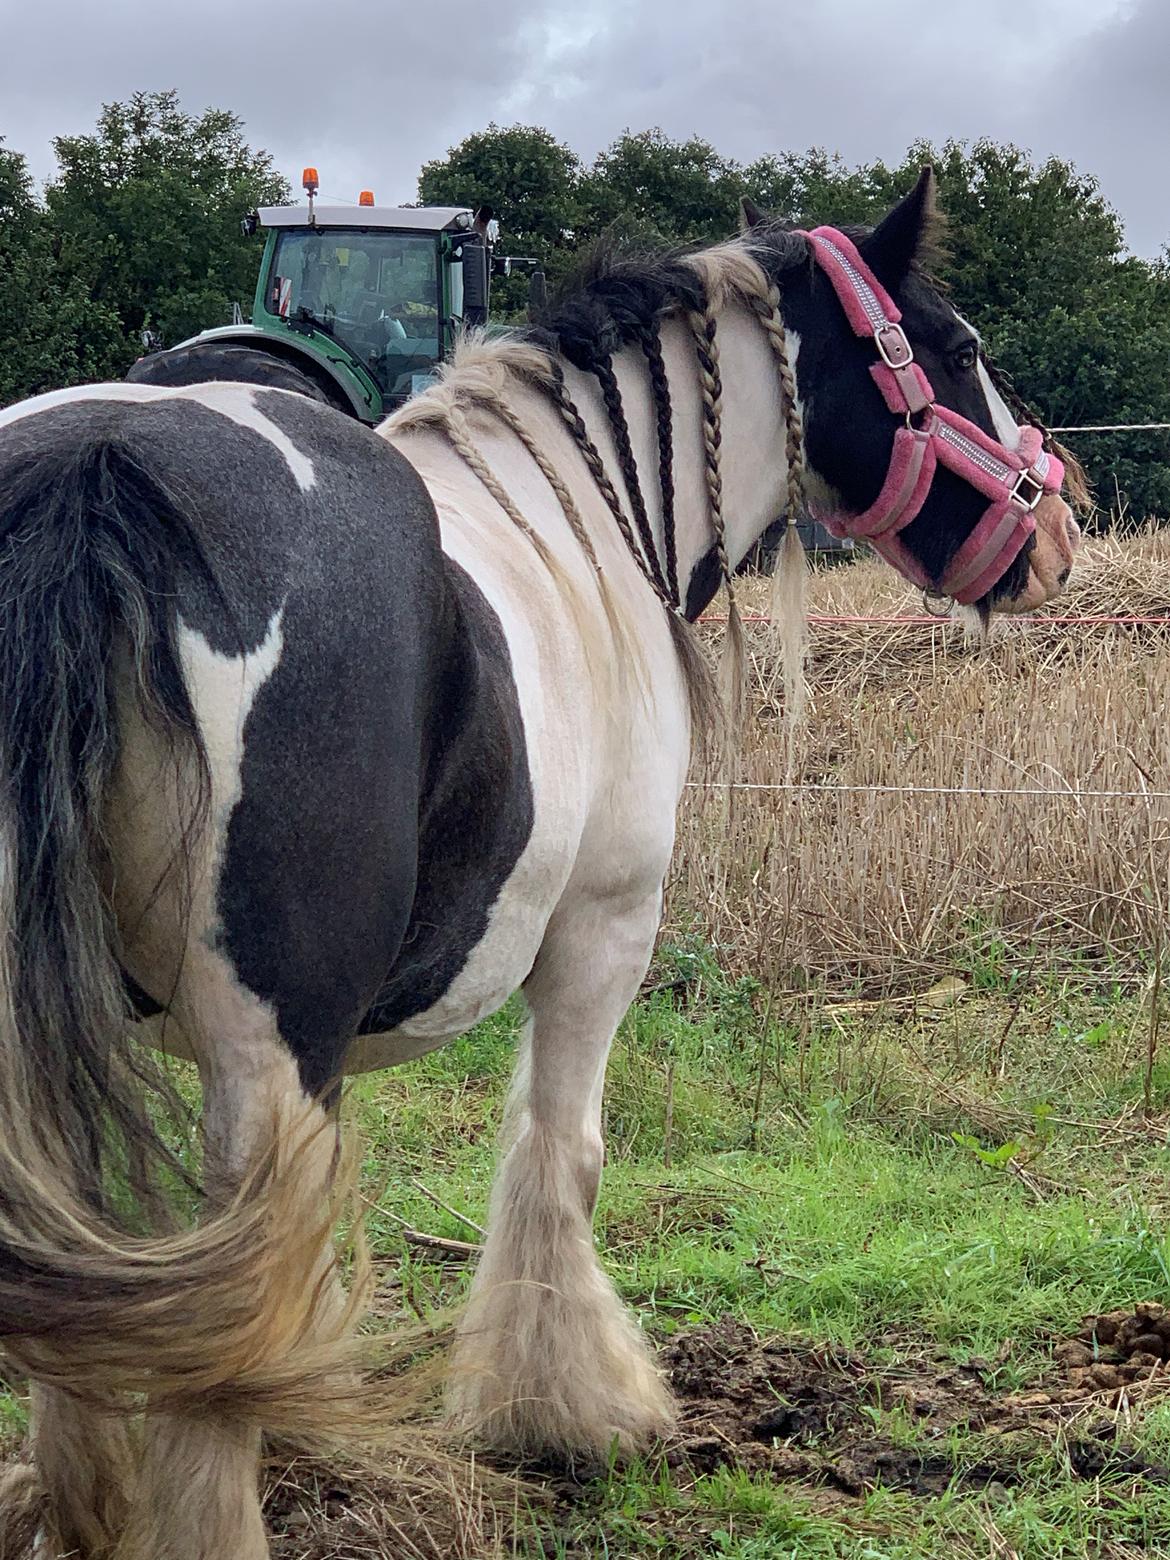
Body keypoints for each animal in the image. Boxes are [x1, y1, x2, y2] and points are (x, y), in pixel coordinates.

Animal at [0, 164, 1085, 1553]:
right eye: (954, 347)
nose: (1061, 530)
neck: (586, 520)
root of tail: (100, 468)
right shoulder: (604, 933)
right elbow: (556, 1152)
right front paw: (567, 1408)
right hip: (268, 1057)